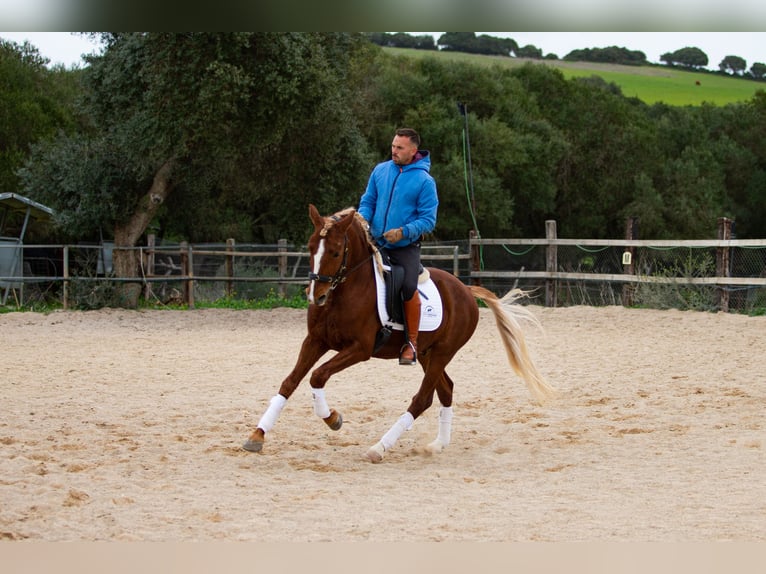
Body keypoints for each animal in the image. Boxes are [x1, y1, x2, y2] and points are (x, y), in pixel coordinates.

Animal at [243, 206, 556, 464]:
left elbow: (317, 376)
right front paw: (257, 435)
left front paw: (332, 418)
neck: (344, 292)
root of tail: (466, 290)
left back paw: (379, 448)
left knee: (422, 399)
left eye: (334, 251)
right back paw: (437, 445)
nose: (315, 295)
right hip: (427, 354)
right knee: (445, 389)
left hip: (443, 352)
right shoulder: (315, 341)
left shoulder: (359, 349)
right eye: (310, 248)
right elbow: (290, 382)